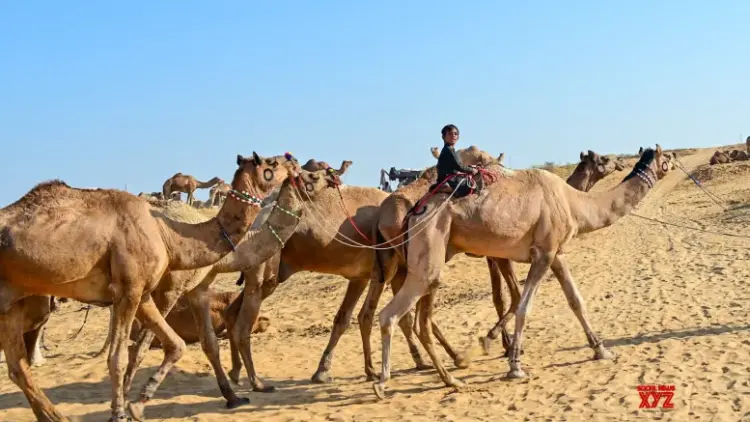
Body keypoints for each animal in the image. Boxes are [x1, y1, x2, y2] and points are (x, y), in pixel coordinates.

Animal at [0, 151, 306, 421]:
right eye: (271, 163)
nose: (295, 164)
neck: (170, 235)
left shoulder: (146, 293)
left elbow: (178, 344)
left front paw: (138, 404)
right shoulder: (135, 290)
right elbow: (122, 356)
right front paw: (119, 412)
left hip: (11, 303)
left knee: (17, 367)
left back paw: (55, 416)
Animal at [117, 167, 339, 417]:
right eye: (313, 175)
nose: (332, 175)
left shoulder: (199, 288)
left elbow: (210, 344)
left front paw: (233, 397)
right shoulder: (171, 290)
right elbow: (142, 345)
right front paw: (130, 402)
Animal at [371, 145, 672, 399]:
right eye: (605, 159)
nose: (621, 162)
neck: (572, 201)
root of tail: (415, 211)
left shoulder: (557, 254)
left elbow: (576, 300)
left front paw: (601, 349)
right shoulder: (542, 253)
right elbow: (523, 306)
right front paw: (514, 364)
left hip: (434, 254)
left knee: (420, 318)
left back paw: (450, 376)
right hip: (429, 242)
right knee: (389, 315)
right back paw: (384, 382)